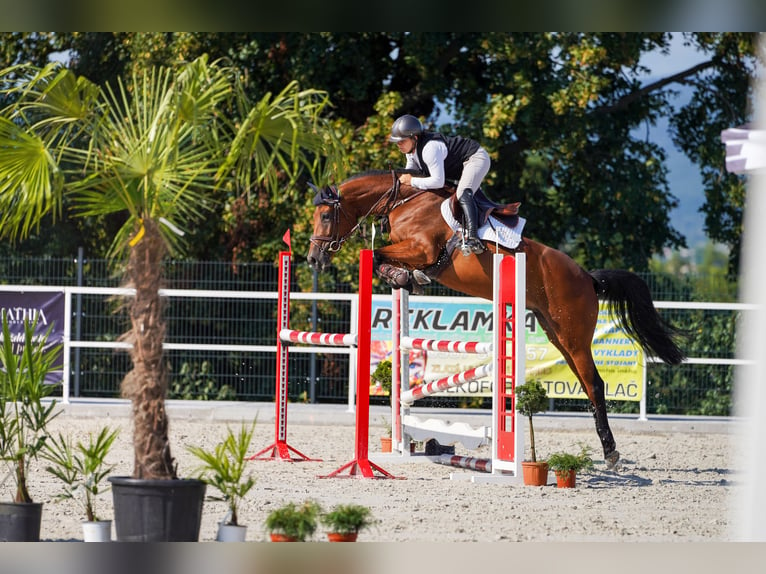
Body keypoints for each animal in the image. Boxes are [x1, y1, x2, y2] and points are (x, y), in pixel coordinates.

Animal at [308, 169, 688, 470]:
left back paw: (610, 453)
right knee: (585, 382)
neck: (405, 201)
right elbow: (384, 258)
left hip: (574, 335)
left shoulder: (422, 248)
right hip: (558, 336)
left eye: (325, 217)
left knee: (595, 384)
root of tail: (587, 277)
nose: (314, 258)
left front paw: (407, 276)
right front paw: (405, 278)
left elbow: (376, 254)